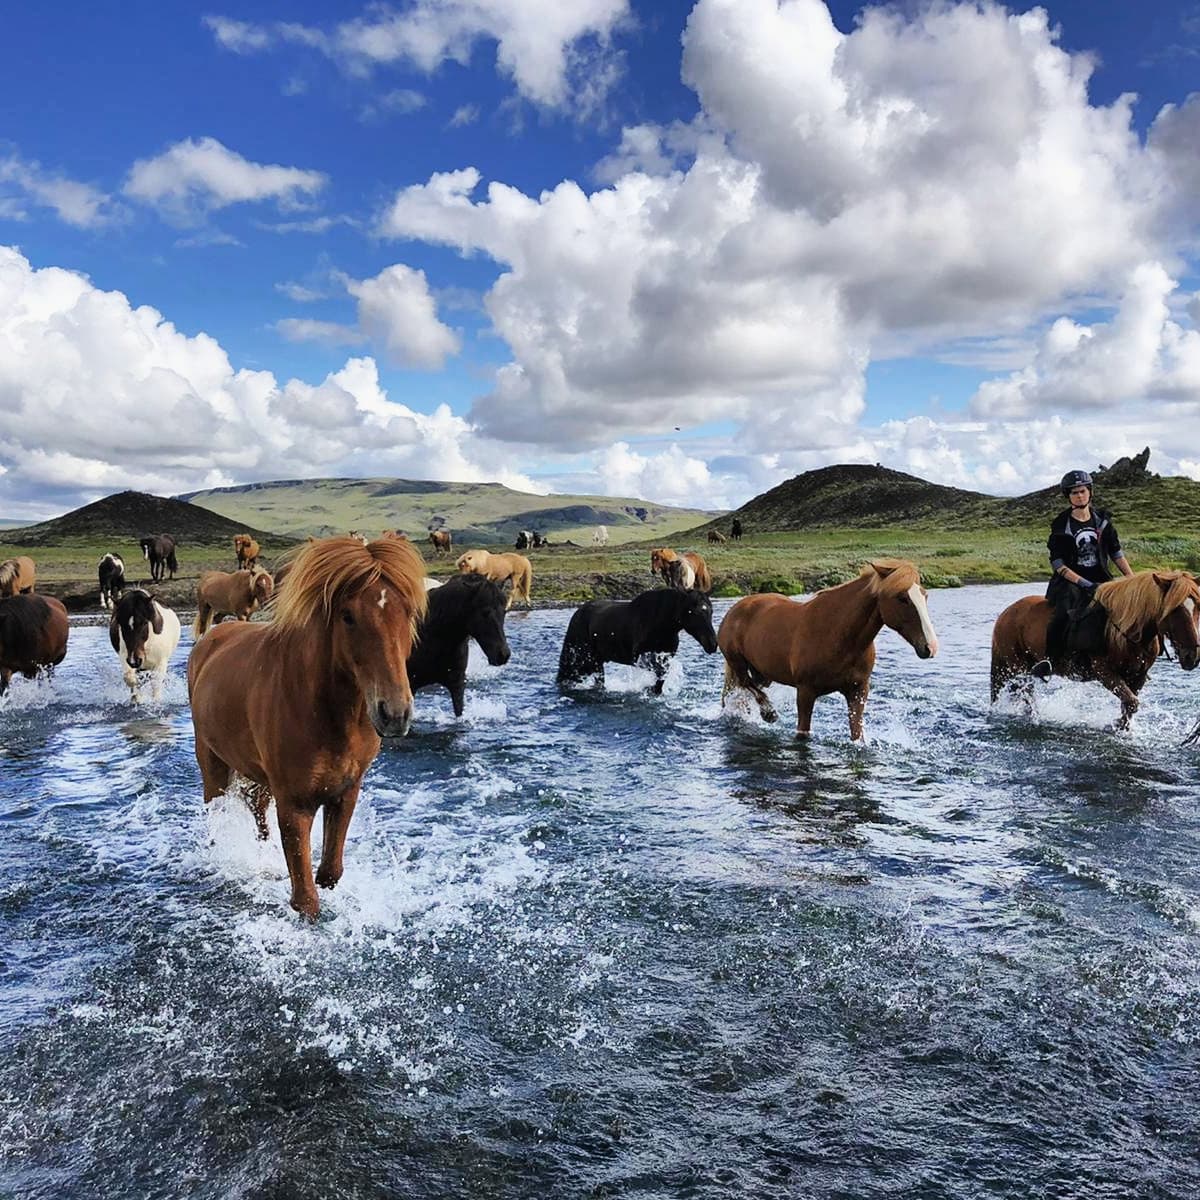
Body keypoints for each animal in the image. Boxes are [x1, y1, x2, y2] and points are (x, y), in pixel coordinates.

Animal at [187, 535, 427, 916]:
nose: (394, 713)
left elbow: (330, 871)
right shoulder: (294, 805)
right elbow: (306, 899)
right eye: (348, 616)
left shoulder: (346, 792)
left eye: (408, 611)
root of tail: (210, 639)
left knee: (258, 814)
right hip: (213, 766)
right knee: (216, 810)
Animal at [556, 583, 715, 691]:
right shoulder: (638, 656)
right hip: (585, 660)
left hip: (596, 662)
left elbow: (661, 676)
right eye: (692, 612)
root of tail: (577, 614)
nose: (712, 644)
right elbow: (658, 672)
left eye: (711, 611)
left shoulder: (665, 655)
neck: (661, 624)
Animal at [715, 559, 940, 739]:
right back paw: (769, 713)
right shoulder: (805, 692)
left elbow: (857, 735)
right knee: (747, 684)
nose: (930, 647)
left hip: (763, 671)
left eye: (925, 595)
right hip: (737, 662)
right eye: (902, 598)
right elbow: (803, 733)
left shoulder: (858, 691)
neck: (838, 636)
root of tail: (736, 608)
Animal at [988, 571, 1195, 729]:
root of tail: (1006, 613)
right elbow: (1131, 702)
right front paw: (1116, 726)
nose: (1191, 657)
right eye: (1175, 610)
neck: (1124, 631)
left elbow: (1129, 705)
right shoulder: (1105, 672)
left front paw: (1121, 727)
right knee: (1021, 693)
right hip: (1016, 666)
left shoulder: (1138, 676)